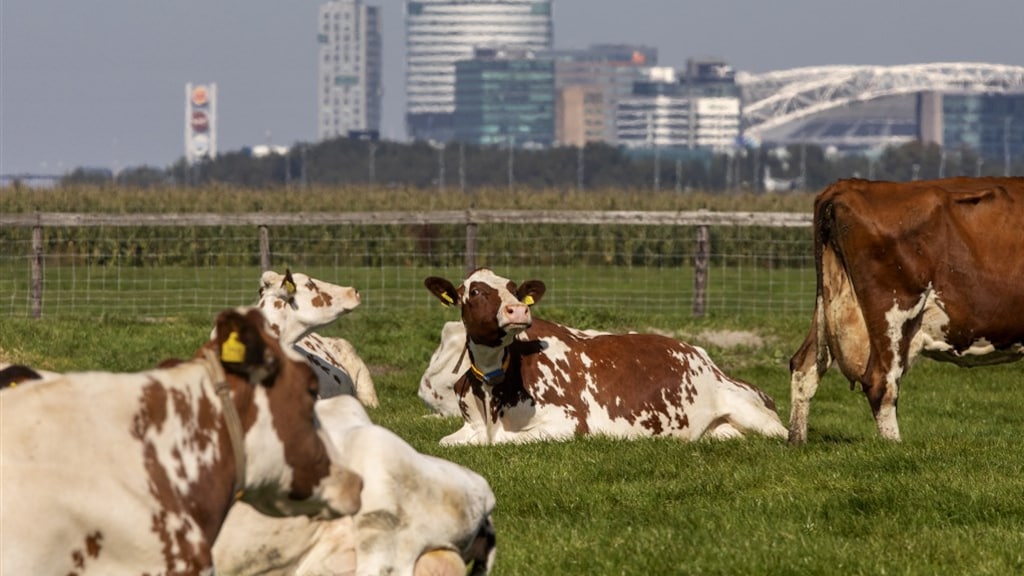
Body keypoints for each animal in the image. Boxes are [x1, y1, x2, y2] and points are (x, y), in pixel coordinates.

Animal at [423, 268, 788, 445]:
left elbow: (500, 440)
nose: (518, 310)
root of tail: (705, 358)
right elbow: (447, 442)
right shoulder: (467, 426)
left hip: (750, 411)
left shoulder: (568, 423)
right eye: (474, 291)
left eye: (515, 289)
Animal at [789, 177, 1024, 444]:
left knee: (804, 366)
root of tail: (847, 185)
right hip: (893, 312)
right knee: (881, 382)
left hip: (830, 303)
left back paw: (796, 441)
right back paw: (894, 445)